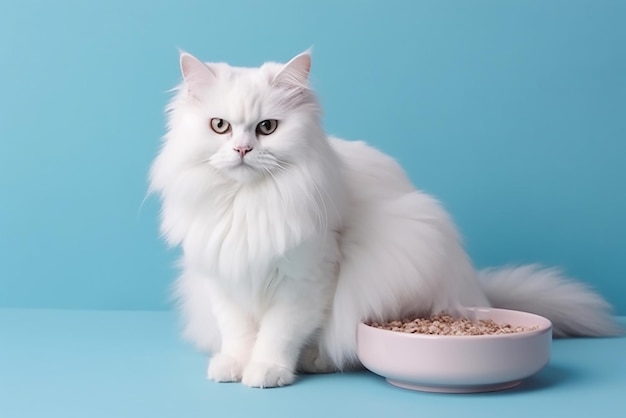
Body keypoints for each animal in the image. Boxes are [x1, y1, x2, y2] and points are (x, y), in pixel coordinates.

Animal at [147, 50, 620, 386]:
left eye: (267, 128)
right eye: (220, 126)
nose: (242, 149)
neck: (248, 203)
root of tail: (474, 289)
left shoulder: (306, 280)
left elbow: (279, 332)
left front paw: (267, 370)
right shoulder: (222, 278)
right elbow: (238, 331)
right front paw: (233, 364)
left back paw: (316, 362)